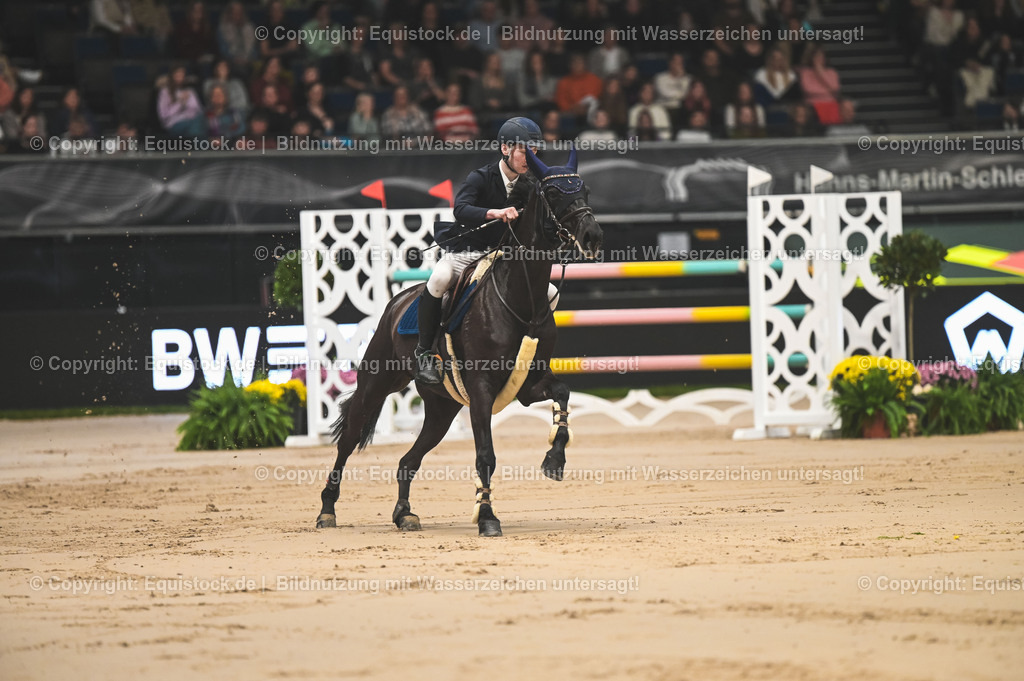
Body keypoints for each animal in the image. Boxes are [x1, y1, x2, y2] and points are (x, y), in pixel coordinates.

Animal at [315, 146, 603, 537]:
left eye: (585, 191)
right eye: (555, 193)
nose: (592, 237)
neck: (520, 297)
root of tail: (398, 301)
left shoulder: (528, 385)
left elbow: (562, 393)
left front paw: (554, 459)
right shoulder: (481, 389)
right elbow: (486, 456)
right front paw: (487, 518)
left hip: (442, 409)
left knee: (408, 459)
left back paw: (404, 513)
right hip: (376, 384)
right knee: (348, 438)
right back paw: (327, 510)